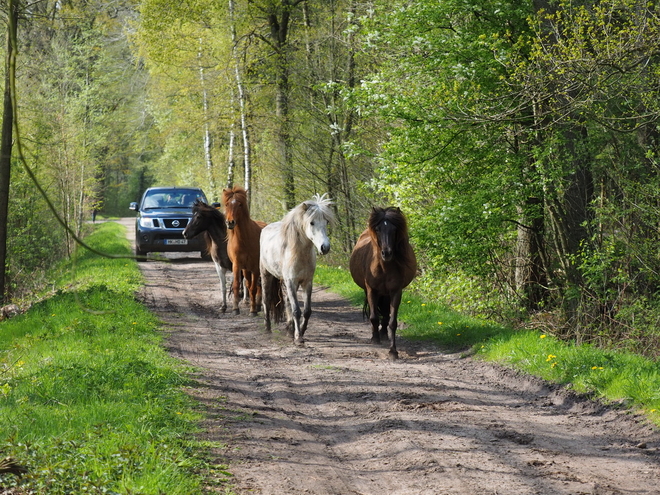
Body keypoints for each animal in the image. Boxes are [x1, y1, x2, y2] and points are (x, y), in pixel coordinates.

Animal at [220, 186, 264, 318]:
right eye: (227, 204)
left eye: (240, 204)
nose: (230, 222)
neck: (245, 239)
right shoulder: (237, 265)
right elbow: (236, 285)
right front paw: (235, 309)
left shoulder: (255, 267)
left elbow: (253, 288)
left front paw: (253, 310)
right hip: (246, 269)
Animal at [260, 194, 336, 344]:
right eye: (312, 222)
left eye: (326, 222)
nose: (325, 247)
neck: (299, 253)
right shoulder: (291, 281)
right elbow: (296, 310)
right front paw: (298, 337)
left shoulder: (307, 282)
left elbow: (306, 311)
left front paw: (301, 330)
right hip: (266, 275)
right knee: (266, 300)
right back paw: (267, 328)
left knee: (288, 302)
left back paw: (289, 328)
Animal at [348, 206, 416, 360]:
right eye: (378, 229)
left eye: (394, 229)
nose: (387, 253)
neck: (384, 267)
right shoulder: (371, 290)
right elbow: (374, 317)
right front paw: (375, 339)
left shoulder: (396, 292)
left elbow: (392, 322)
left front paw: (393, 351)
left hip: (386, 294)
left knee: (385, 313)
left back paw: (384, 334)